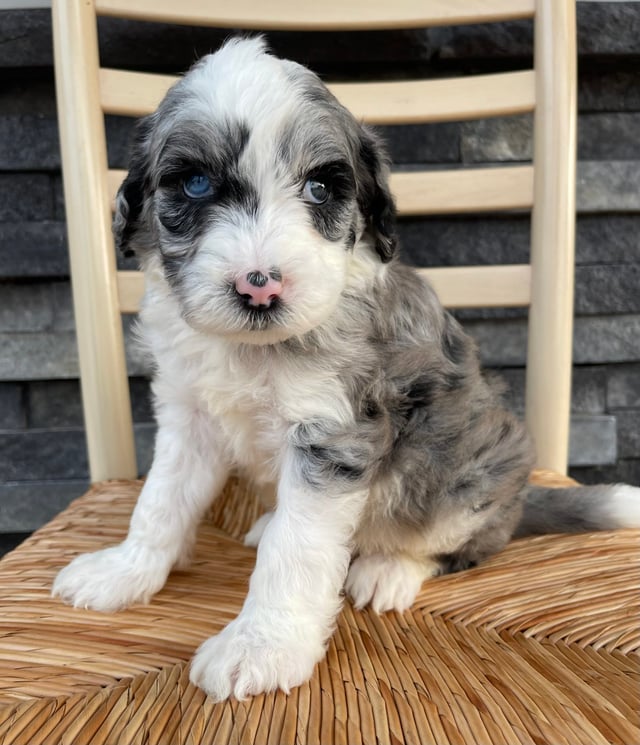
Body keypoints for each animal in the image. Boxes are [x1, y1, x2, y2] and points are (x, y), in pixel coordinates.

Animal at [51, 37, 640, 700]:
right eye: (195, 183)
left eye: (319, 188)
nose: (259, 287)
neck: (251, 350)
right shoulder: (190, 413)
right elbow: (160, 499)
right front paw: (125, 570)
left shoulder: (331, 436)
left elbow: (296, 551)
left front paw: (262, 648)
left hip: (471, 477)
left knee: (453, 543)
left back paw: (388, 570)